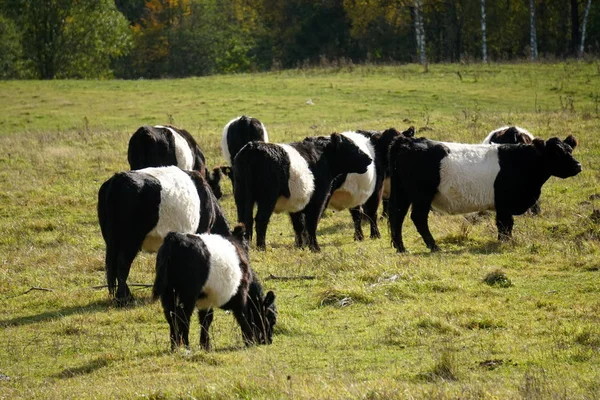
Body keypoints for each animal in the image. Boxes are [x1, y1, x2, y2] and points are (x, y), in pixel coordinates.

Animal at [97, 165, 231, 304]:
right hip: (131, 238)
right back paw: (124, 299)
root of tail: (118, 178)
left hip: (112, 239)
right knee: (122, 264)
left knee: (113, 265)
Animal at [233, 133, 370, 252]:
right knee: (261, 220)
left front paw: (300, 247)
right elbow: (311, 223)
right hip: (267, 198)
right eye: (352, 147)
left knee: (244, 220)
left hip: (241, 196)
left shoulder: (296, 203)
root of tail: (253, 147)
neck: (323, 157)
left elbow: (299, 224)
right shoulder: (318, 200)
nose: (369, 159)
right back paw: (262, 248)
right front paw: (314, 248)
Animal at [390, 136, 580, 252]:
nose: (578, 165)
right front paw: (505, 242)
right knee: (418, 218)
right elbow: (504, 225)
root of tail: (408, 141)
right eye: (557, 152)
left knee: (397, 217)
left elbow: (506, 225)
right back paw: (434, 246)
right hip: (421, 195)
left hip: (401, 193)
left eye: (570, 150)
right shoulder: (504, 204)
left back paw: (401, 248)